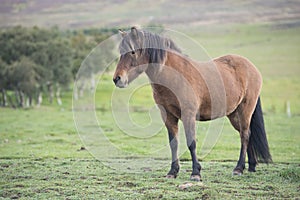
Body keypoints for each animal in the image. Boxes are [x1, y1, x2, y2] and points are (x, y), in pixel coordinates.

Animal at [113, 26, 272, 181]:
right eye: (120, 52)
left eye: (132, 51)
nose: (117, 79)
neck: (174, 76)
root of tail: (252, 67)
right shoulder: (168, 116)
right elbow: (174, 143)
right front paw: (173, 171)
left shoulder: (188, 115)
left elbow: (191, 143)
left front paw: (196, 173)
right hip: (233, 114)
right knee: (246, 135)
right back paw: (250, 166)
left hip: (245, 110)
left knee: (245, 135)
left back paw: (238, 168)